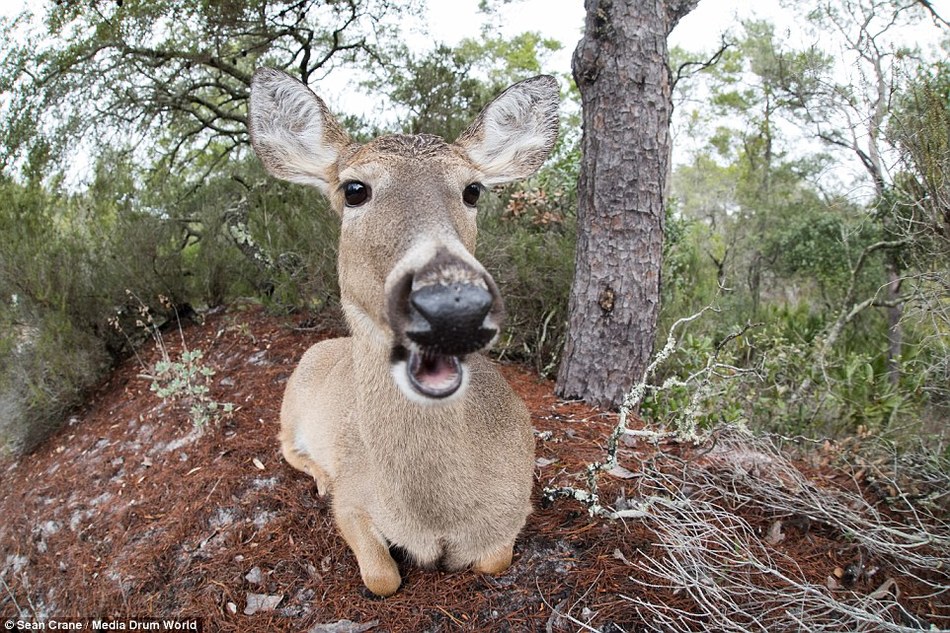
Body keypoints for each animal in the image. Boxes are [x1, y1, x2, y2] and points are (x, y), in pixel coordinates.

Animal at [249, 66, 560, 596]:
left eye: (473, 189)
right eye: (354, 189)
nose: (453, 305)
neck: (436, 517)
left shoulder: (517, 506)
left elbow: (492, 561)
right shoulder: (352, 501)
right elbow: (381, 577)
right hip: (290, 407)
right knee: (286, 446)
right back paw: (318, 475)